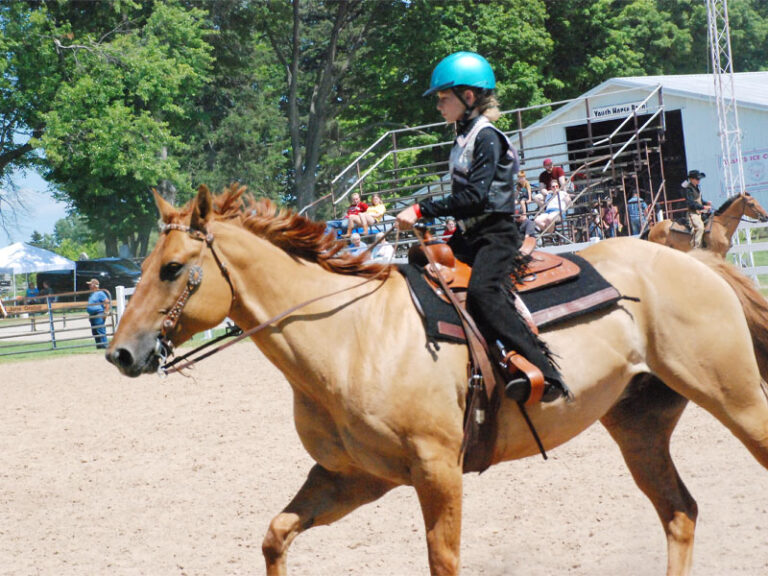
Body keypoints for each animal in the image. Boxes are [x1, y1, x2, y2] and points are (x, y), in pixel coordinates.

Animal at [106, 186, 768, 576]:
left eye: (172, 269)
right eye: (143, 267)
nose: (119, 353)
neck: (351, 335)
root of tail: (689, 259)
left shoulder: (437, 470)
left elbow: (443, 561)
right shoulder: (354, 477)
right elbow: (276, 535)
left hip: (734, 396)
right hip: (639, 424)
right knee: (679, 512)